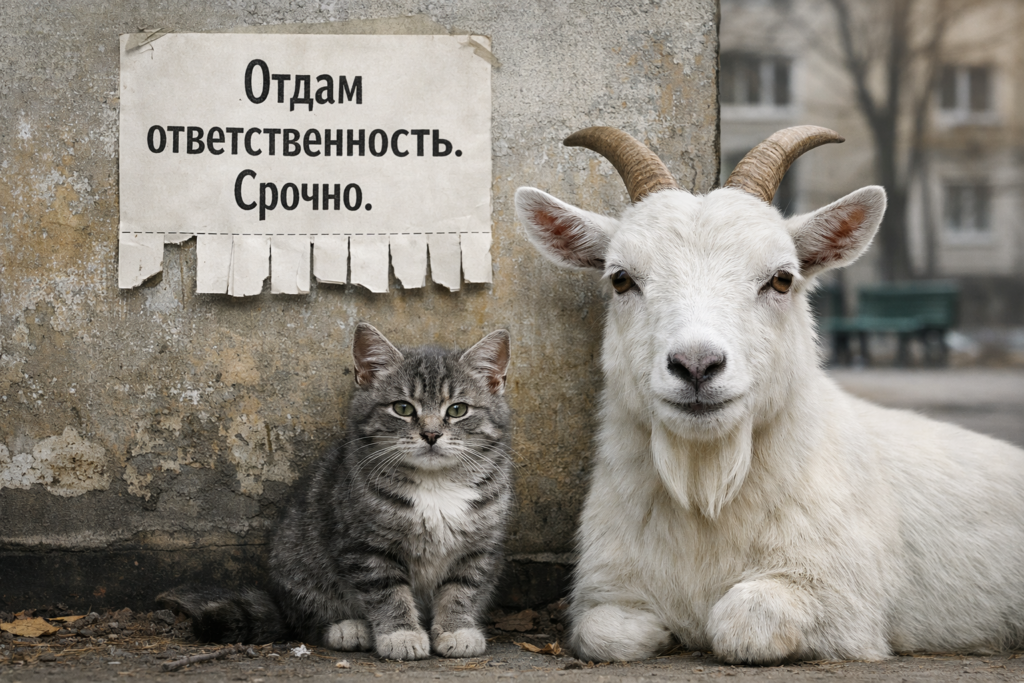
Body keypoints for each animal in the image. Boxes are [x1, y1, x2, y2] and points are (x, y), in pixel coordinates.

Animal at [515, 126, 1024, 664]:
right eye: (620, 278)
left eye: (781, 279)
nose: (697, 365)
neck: (707, 489)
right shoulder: (606, 591)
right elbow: (606, 633)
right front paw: (662, 633)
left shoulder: (845, 603)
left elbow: (741, 621)